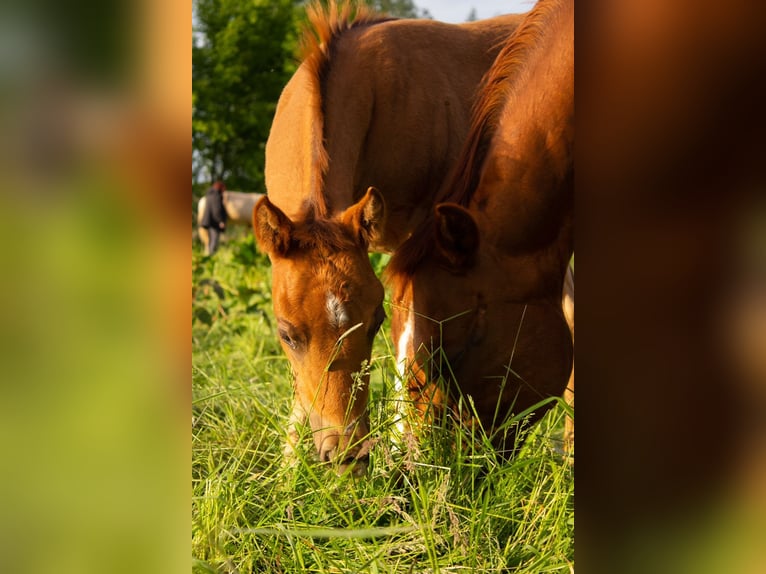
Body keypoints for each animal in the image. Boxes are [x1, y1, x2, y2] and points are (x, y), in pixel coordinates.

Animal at [255, 2, 524, 474]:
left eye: (374, 322)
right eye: (287, 334)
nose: (347, 455)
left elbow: (412, 334)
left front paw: (405, 453)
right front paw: (287, 470)